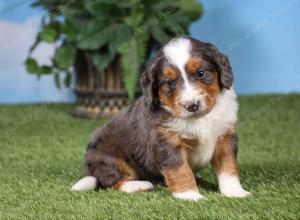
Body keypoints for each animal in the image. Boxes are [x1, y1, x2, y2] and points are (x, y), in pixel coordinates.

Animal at [71, 36, 250, 201]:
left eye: (201, 73)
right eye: (169, 83)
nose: (191, 105)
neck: (201, 119)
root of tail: (89, 169)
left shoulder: (225, 136)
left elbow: (229, 168)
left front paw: (235, 192)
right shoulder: (167, 142)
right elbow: (180, 170)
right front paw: (190, 195)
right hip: (110, 158)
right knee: (110, 181)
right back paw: (139, 185)